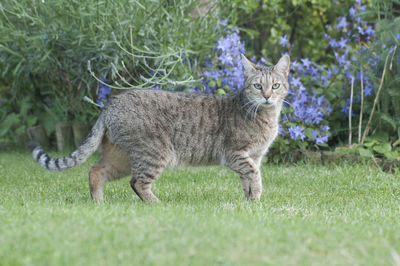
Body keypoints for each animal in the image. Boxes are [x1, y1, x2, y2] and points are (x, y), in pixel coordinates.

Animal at [29, 55, 290, 203]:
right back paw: (157, 204)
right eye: (257, 86)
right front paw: (257, 198)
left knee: (95, 171)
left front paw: (250, 202)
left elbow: (247, 180)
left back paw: (99, 203)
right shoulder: (235, 154)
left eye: (276, 86)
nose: (267, 96)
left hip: (121, 158)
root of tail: (110, 104)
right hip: (154, 153)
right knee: (137, 183)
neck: (266, 116)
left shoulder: (254, 156)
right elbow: (254, 175)